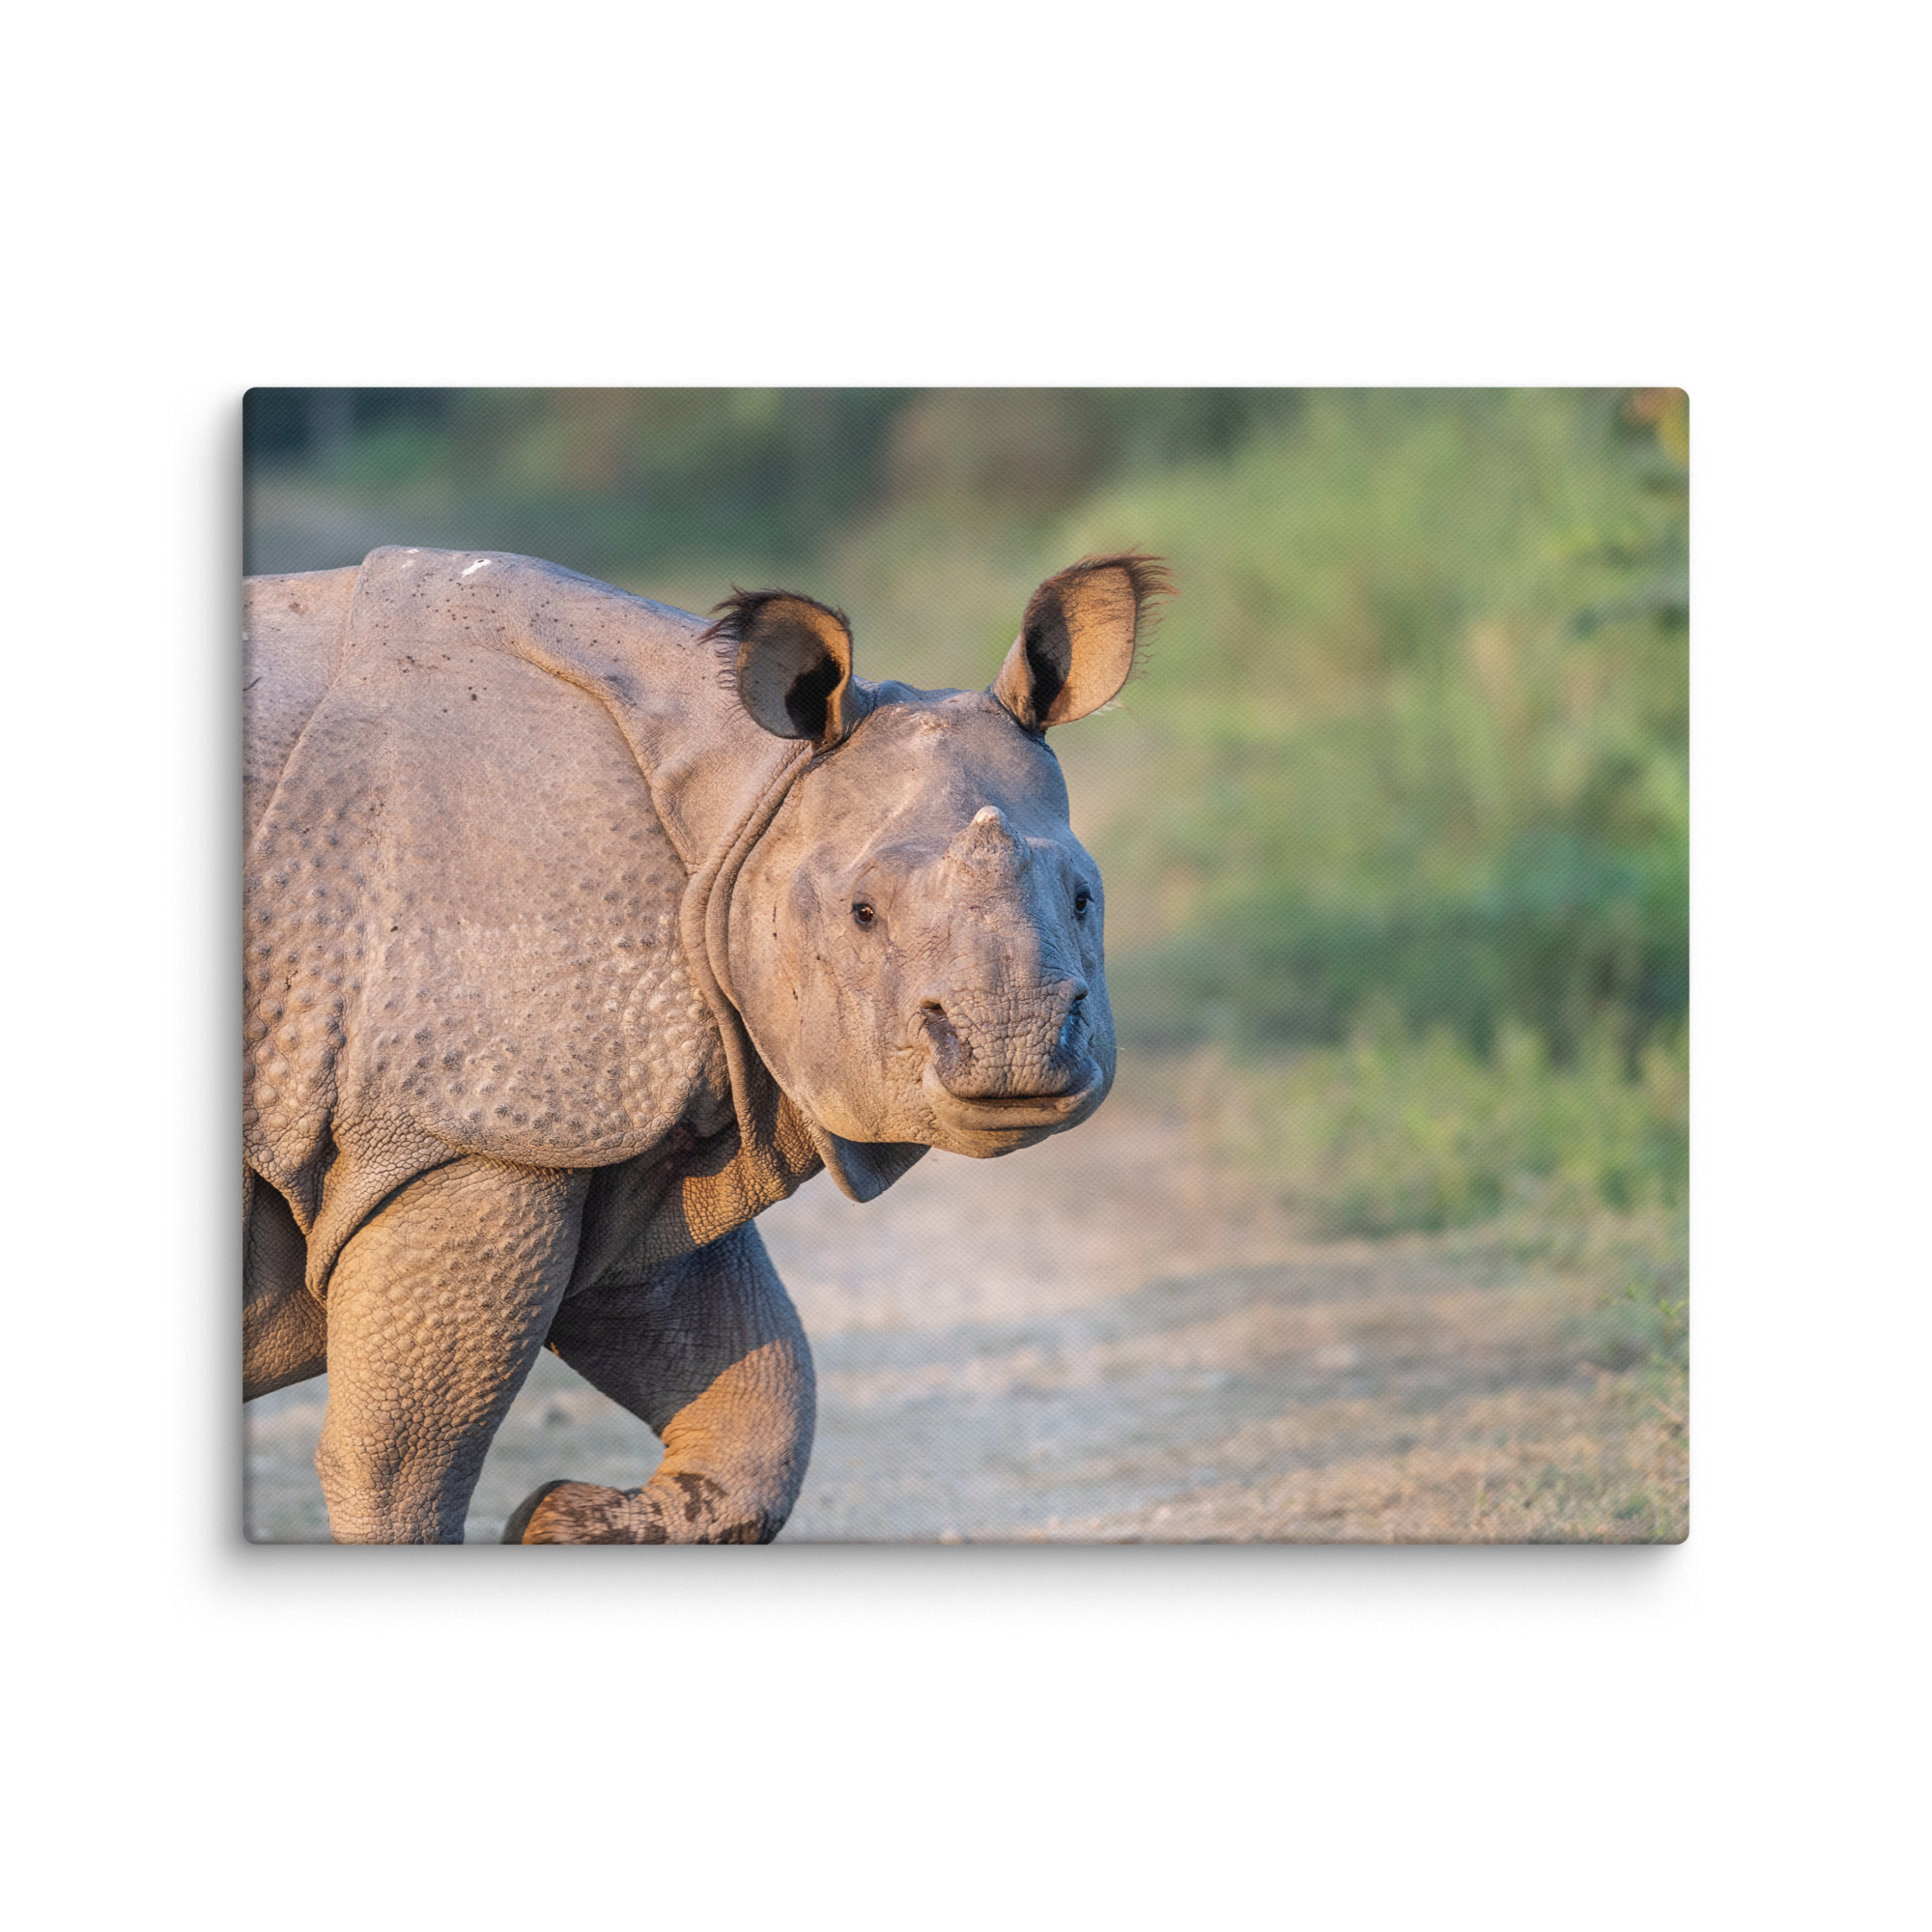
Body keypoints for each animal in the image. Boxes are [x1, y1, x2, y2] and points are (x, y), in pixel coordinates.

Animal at [244, 543, 1167, 1542]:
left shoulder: (601, 1128)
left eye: (1084, 898)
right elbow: (403, 1466)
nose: (1015, 1048)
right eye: (863, 914)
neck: (746, 799)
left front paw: (559, 1519)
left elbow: (756, 1395)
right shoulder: (471, 1133)